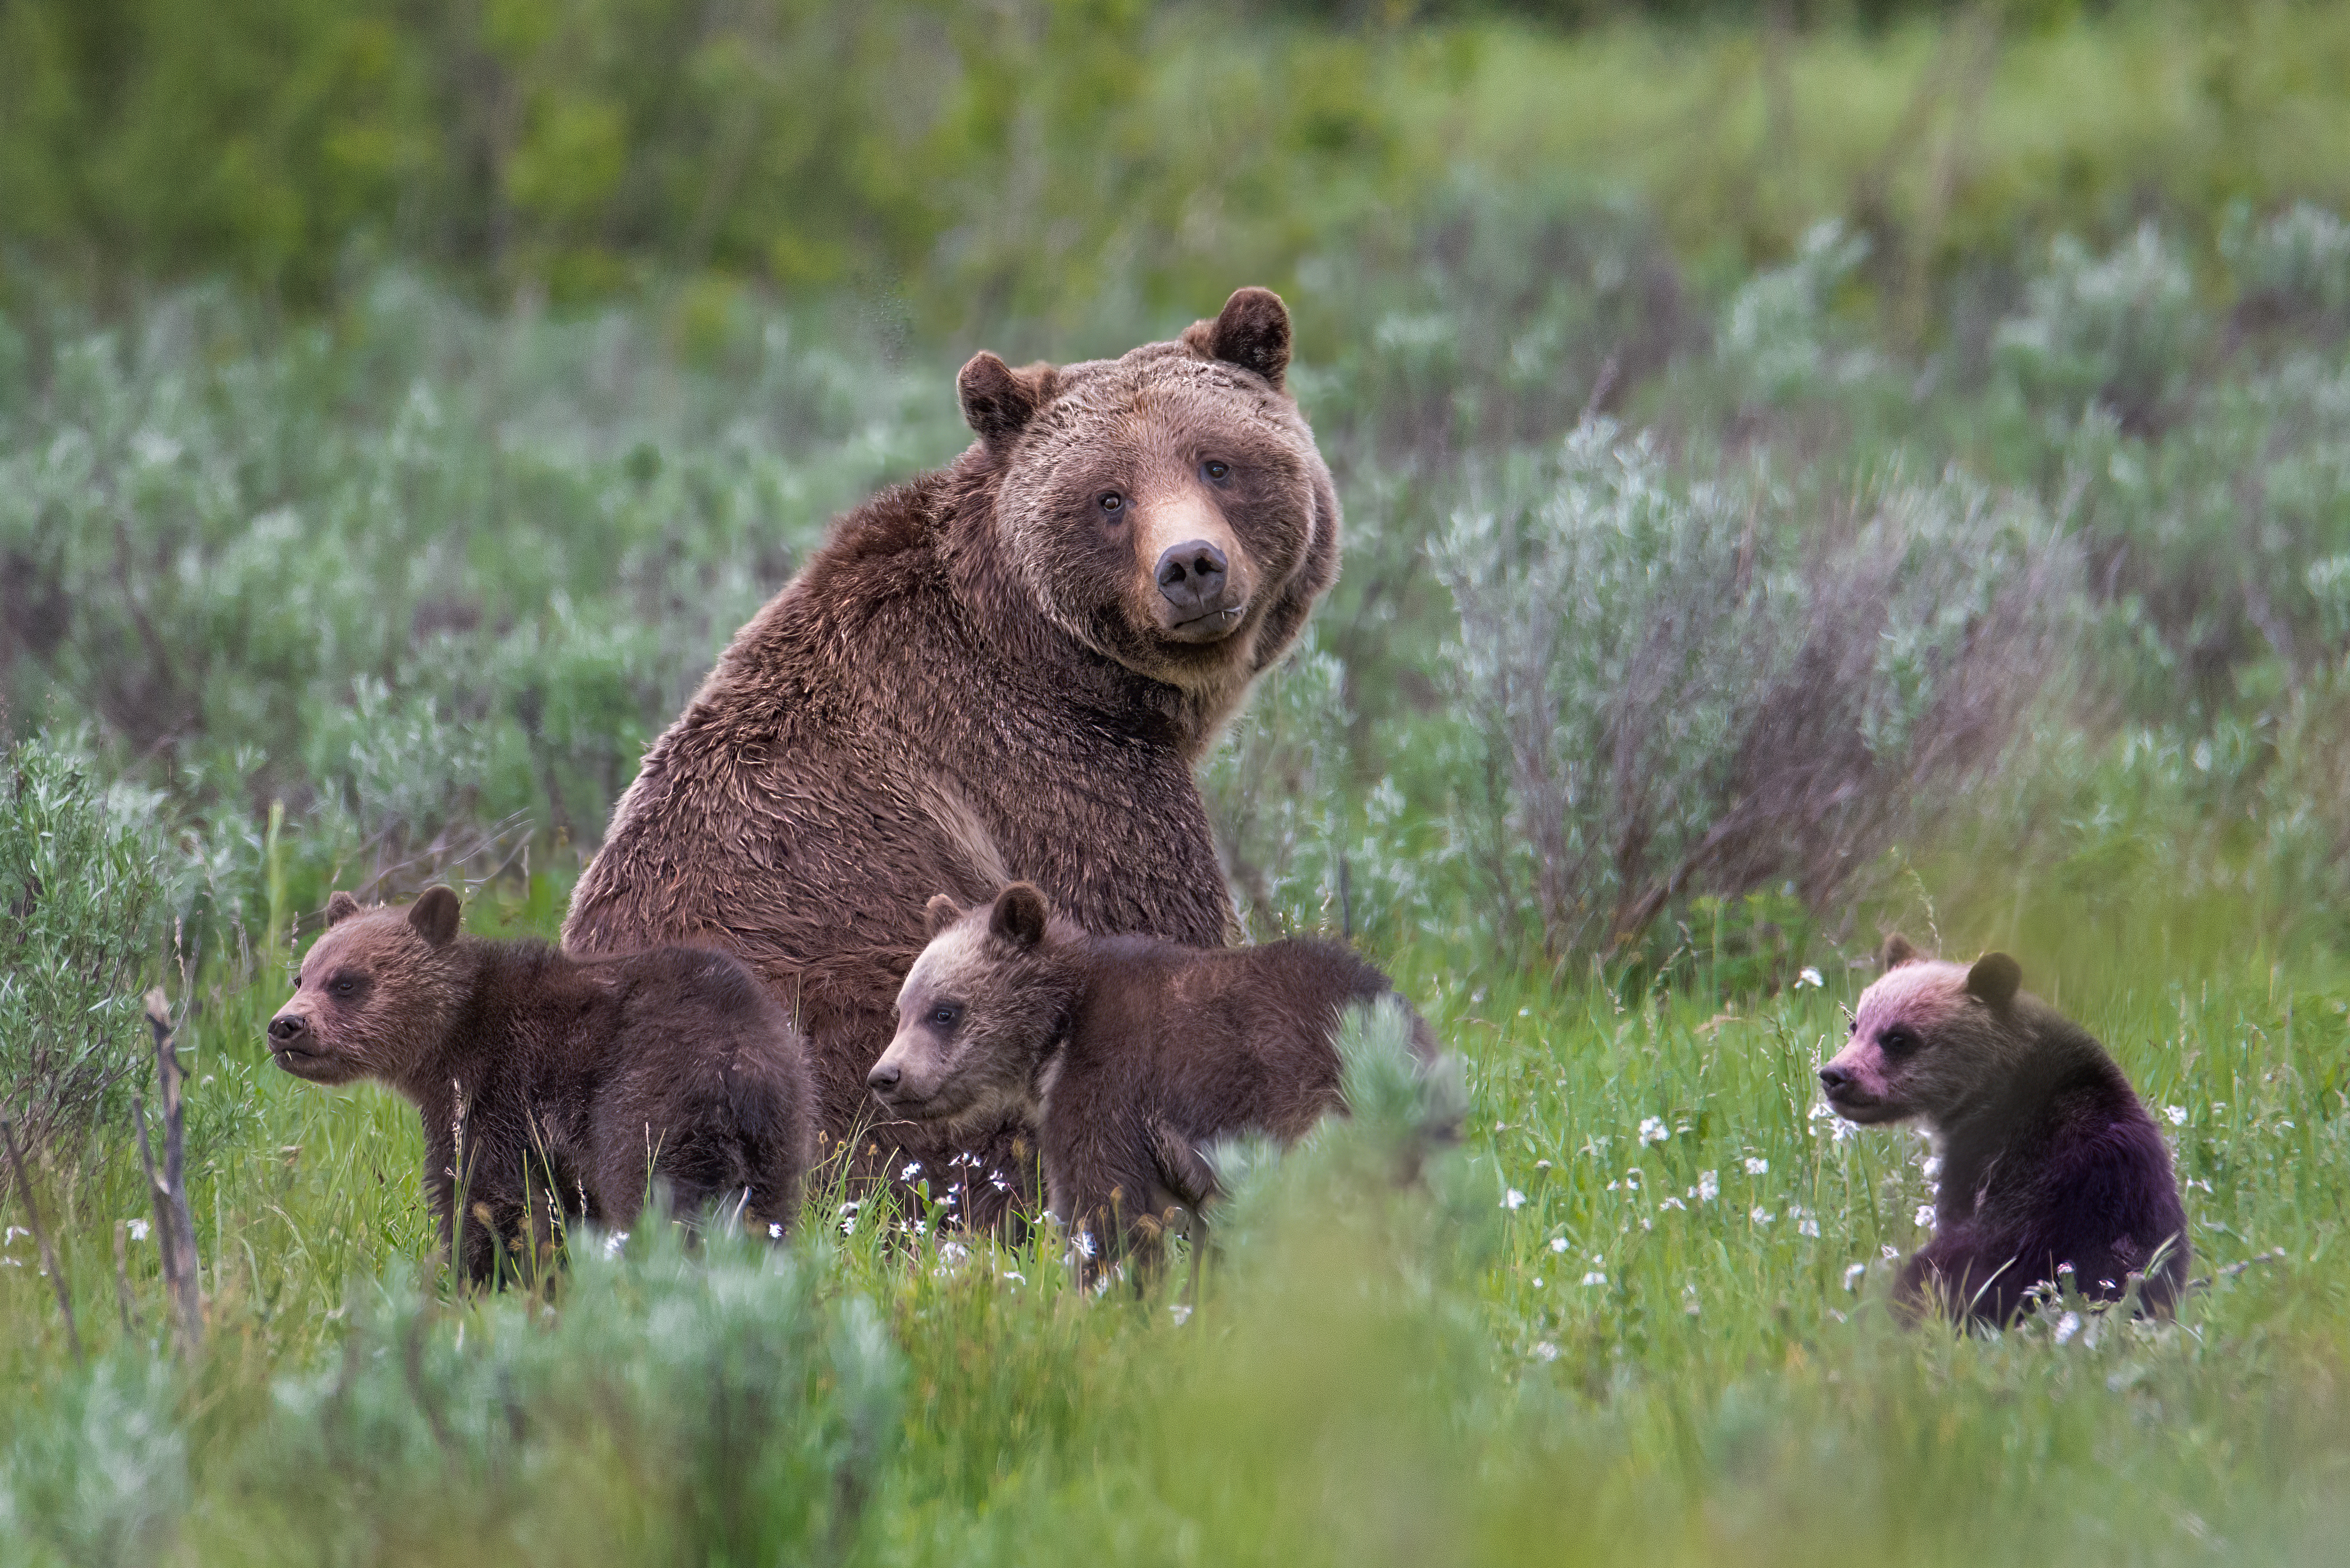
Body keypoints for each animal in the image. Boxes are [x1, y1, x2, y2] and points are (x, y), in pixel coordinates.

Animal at [266, 888, 813, 1279]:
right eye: (302, 976)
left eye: (346, 981)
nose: (284, 1026)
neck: (451, 1041)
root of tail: (738, 1062)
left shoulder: (503, 1092)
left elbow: (485, 1197)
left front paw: (471, 1272)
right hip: (776, 1133)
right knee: (764, 1213)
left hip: (650, 1102)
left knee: (660, 1199)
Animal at [869, 888, 1438, 1269]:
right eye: (901, 1009)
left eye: (945, 1012)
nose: (885, 1076)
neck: (1058, 1033)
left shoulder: (1112, 1085)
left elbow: (1104, 1208)